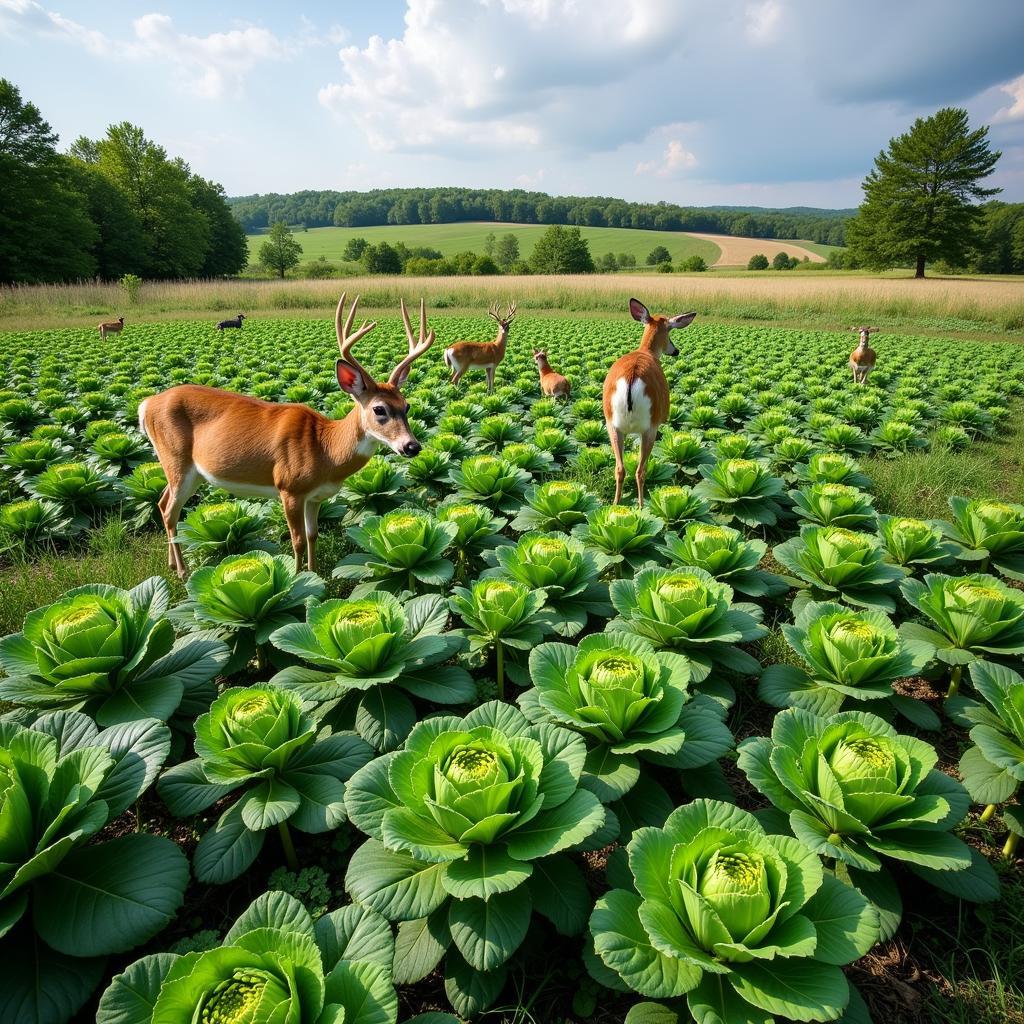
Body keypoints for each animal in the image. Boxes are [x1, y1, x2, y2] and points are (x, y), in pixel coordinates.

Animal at [138, 294, 434, 577]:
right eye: (379, 409)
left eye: (407, 406)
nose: (412, 446)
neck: (326, 450)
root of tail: (146, 404)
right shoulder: (289, 488)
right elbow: (298, 541)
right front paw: (297, 579)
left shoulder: (315, 497)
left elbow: (313, 536)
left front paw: (314, 575)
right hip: (177, 459)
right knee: (170, 511)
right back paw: (182, 571)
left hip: (188, 470)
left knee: (162, 502)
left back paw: (171, 565)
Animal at [602, 296, 700, 503]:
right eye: (670, 329)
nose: (675, 350)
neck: (647, 351)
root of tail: (631, 379)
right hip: (650, 426)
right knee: (640, 470)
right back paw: (640, 506)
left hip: (611, 424)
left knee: (620, 468)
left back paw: (616, 504)